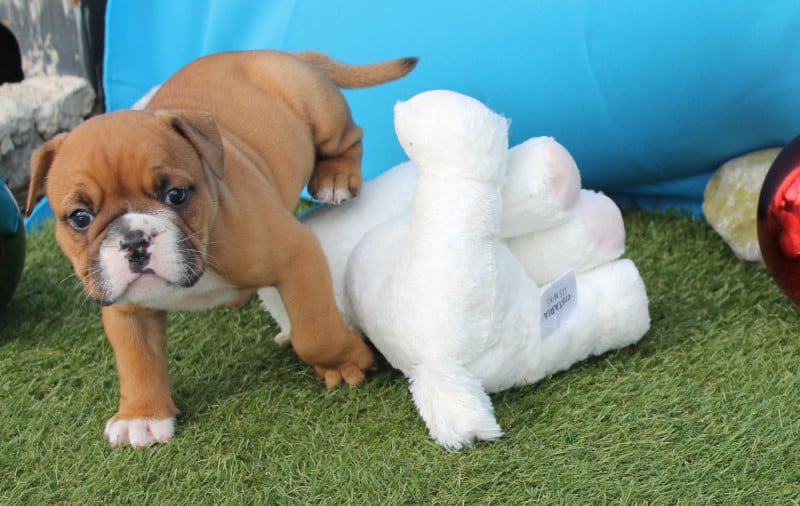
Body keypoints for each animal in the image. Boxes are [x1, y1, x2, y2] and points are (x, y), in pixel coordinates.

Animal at [25, 50, 417, 447]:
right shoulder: (126, 309)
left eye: (176, 195)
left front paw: (348, 361)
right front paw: (142, 416)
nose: (134, 241)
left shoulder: (296, 256)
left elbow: (314, 335)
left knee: (350, 136)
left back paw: (335, 177)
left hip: (319, 110)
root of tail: (279, 54)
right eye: (80, 217)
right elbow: (137, 361)